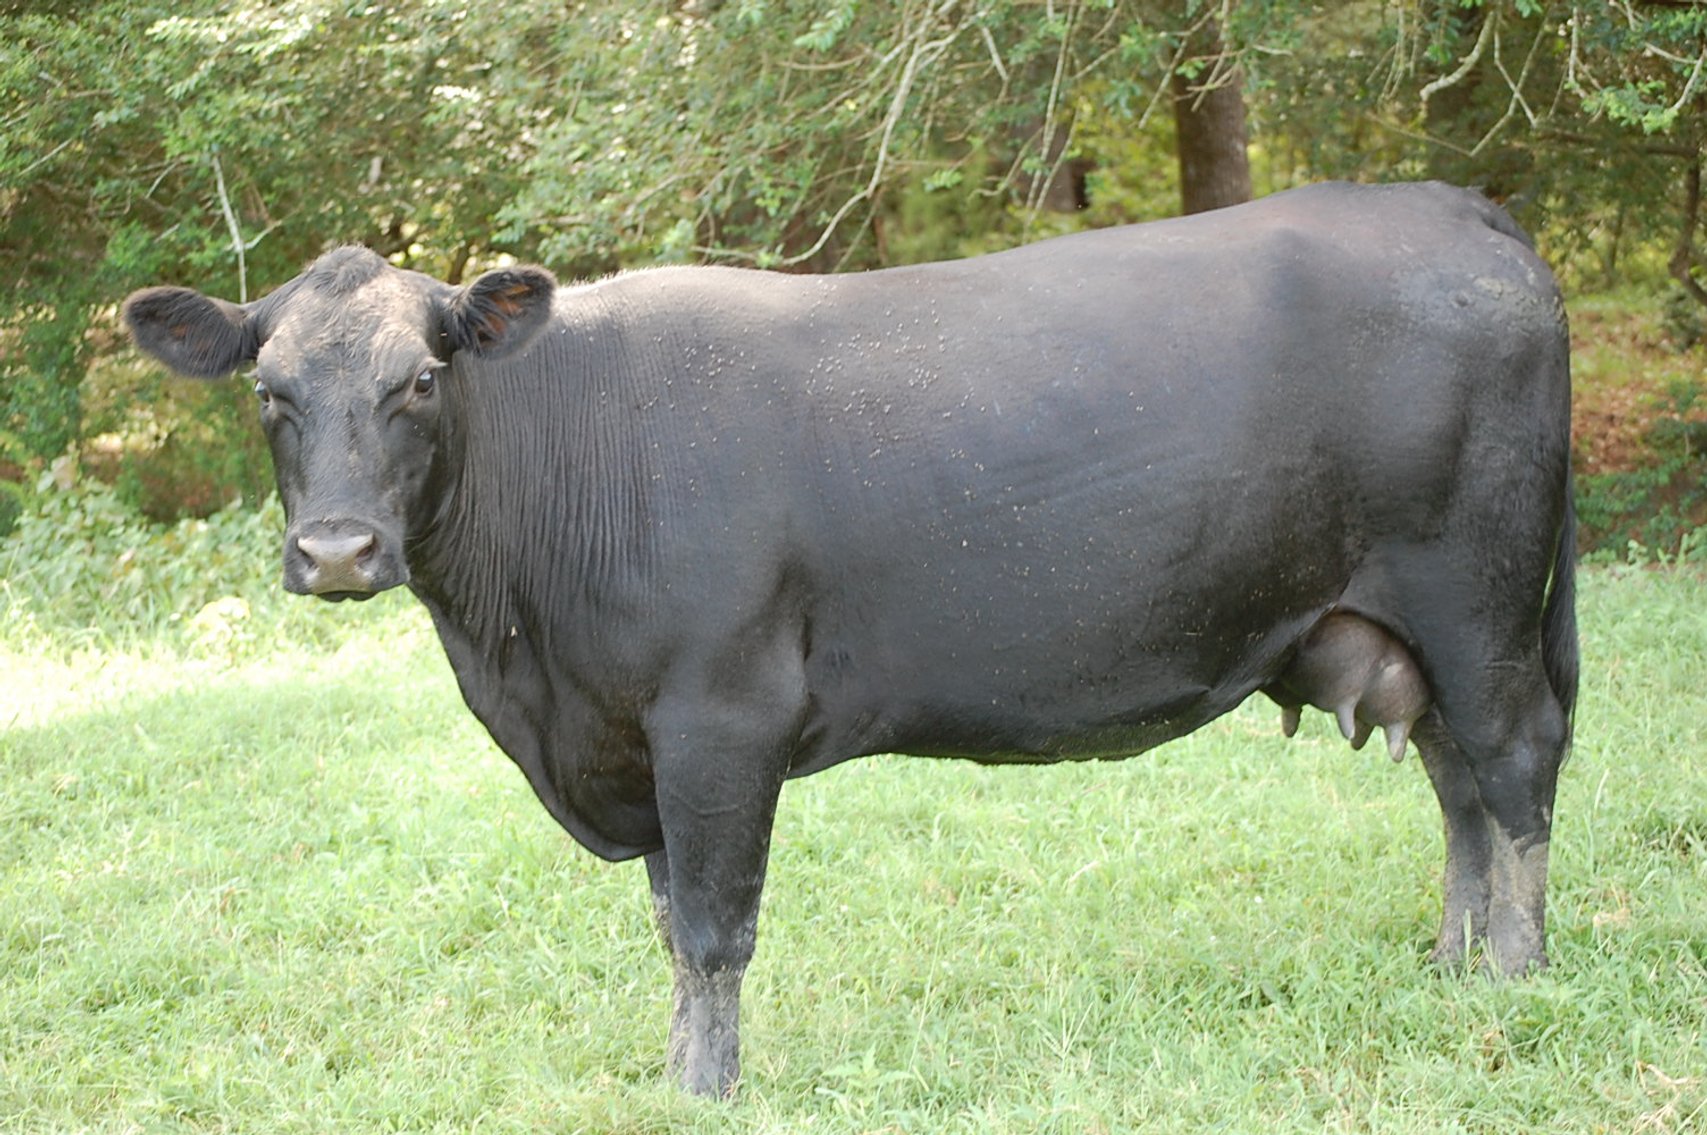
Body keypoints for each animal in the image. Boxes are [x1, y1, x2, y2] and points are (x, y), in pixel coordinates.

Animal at [123, 181, 1577, 1098]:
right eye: (269, 391)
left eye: (420, 379)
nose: (336, 551)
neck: (525, 660)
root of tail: (1456, 207)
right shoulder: (637, 741)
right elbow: (672, 930)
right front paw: (673, 1075)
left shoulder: (718, 717)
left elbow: (715, 930)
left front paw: (706, 1092)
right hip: (1403, 622)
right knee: (1454, 778)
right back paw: (1450, 965)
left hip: (1480, 598)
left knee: (1511, 772)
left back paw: (1512, 977)